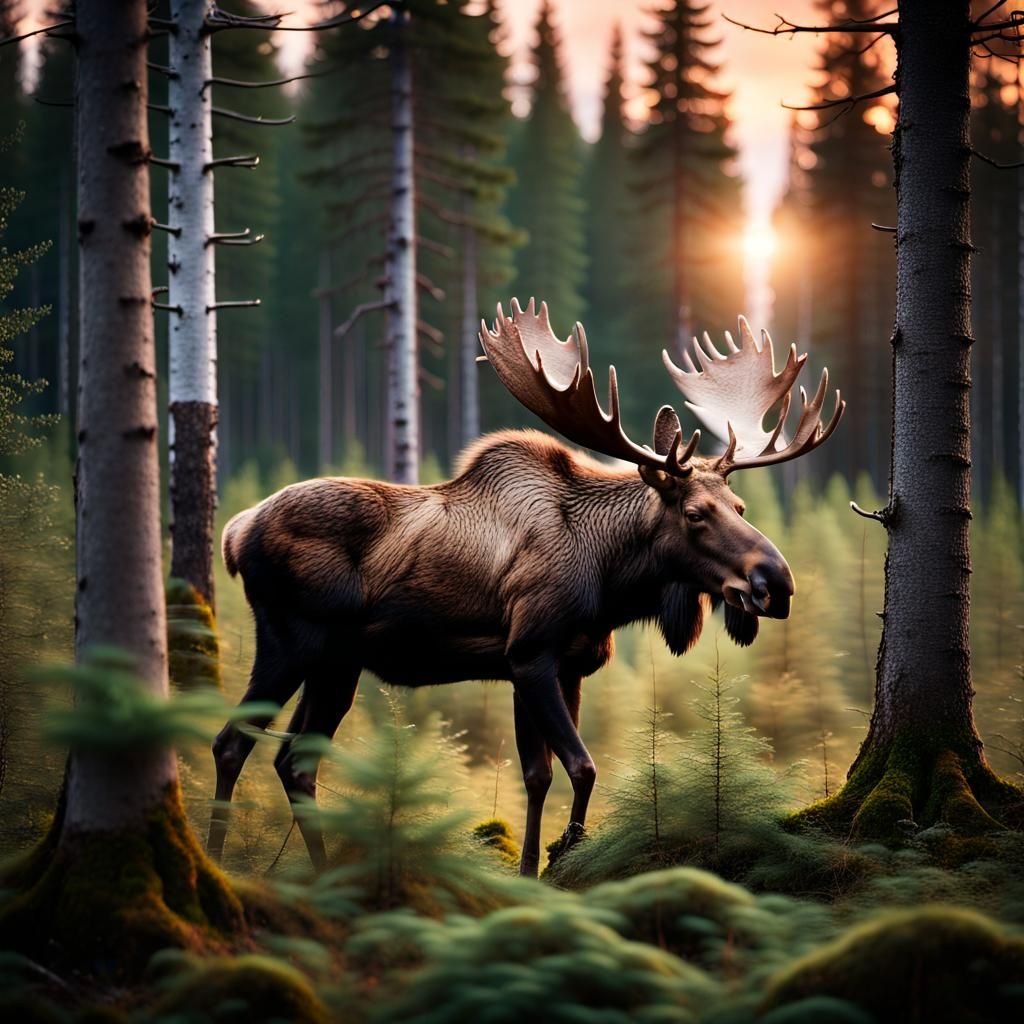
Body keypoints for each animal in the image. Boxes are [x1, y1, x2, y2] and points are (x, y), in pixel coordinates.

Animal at [208, 298, 843, 877]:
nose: (776, 582)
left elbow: (541, 775)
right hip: (290, 641)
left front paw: (542, 864)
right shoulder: (529, 654)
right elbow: (581, 766)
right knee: (232, 743)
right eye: (694, 514)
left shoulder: (567, 666)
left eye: (740, 506)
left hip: (337, 662)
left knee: (294, 762)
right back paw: (220, 860)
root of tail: (234, 533)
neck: (609, 581)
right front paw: (559, 857)